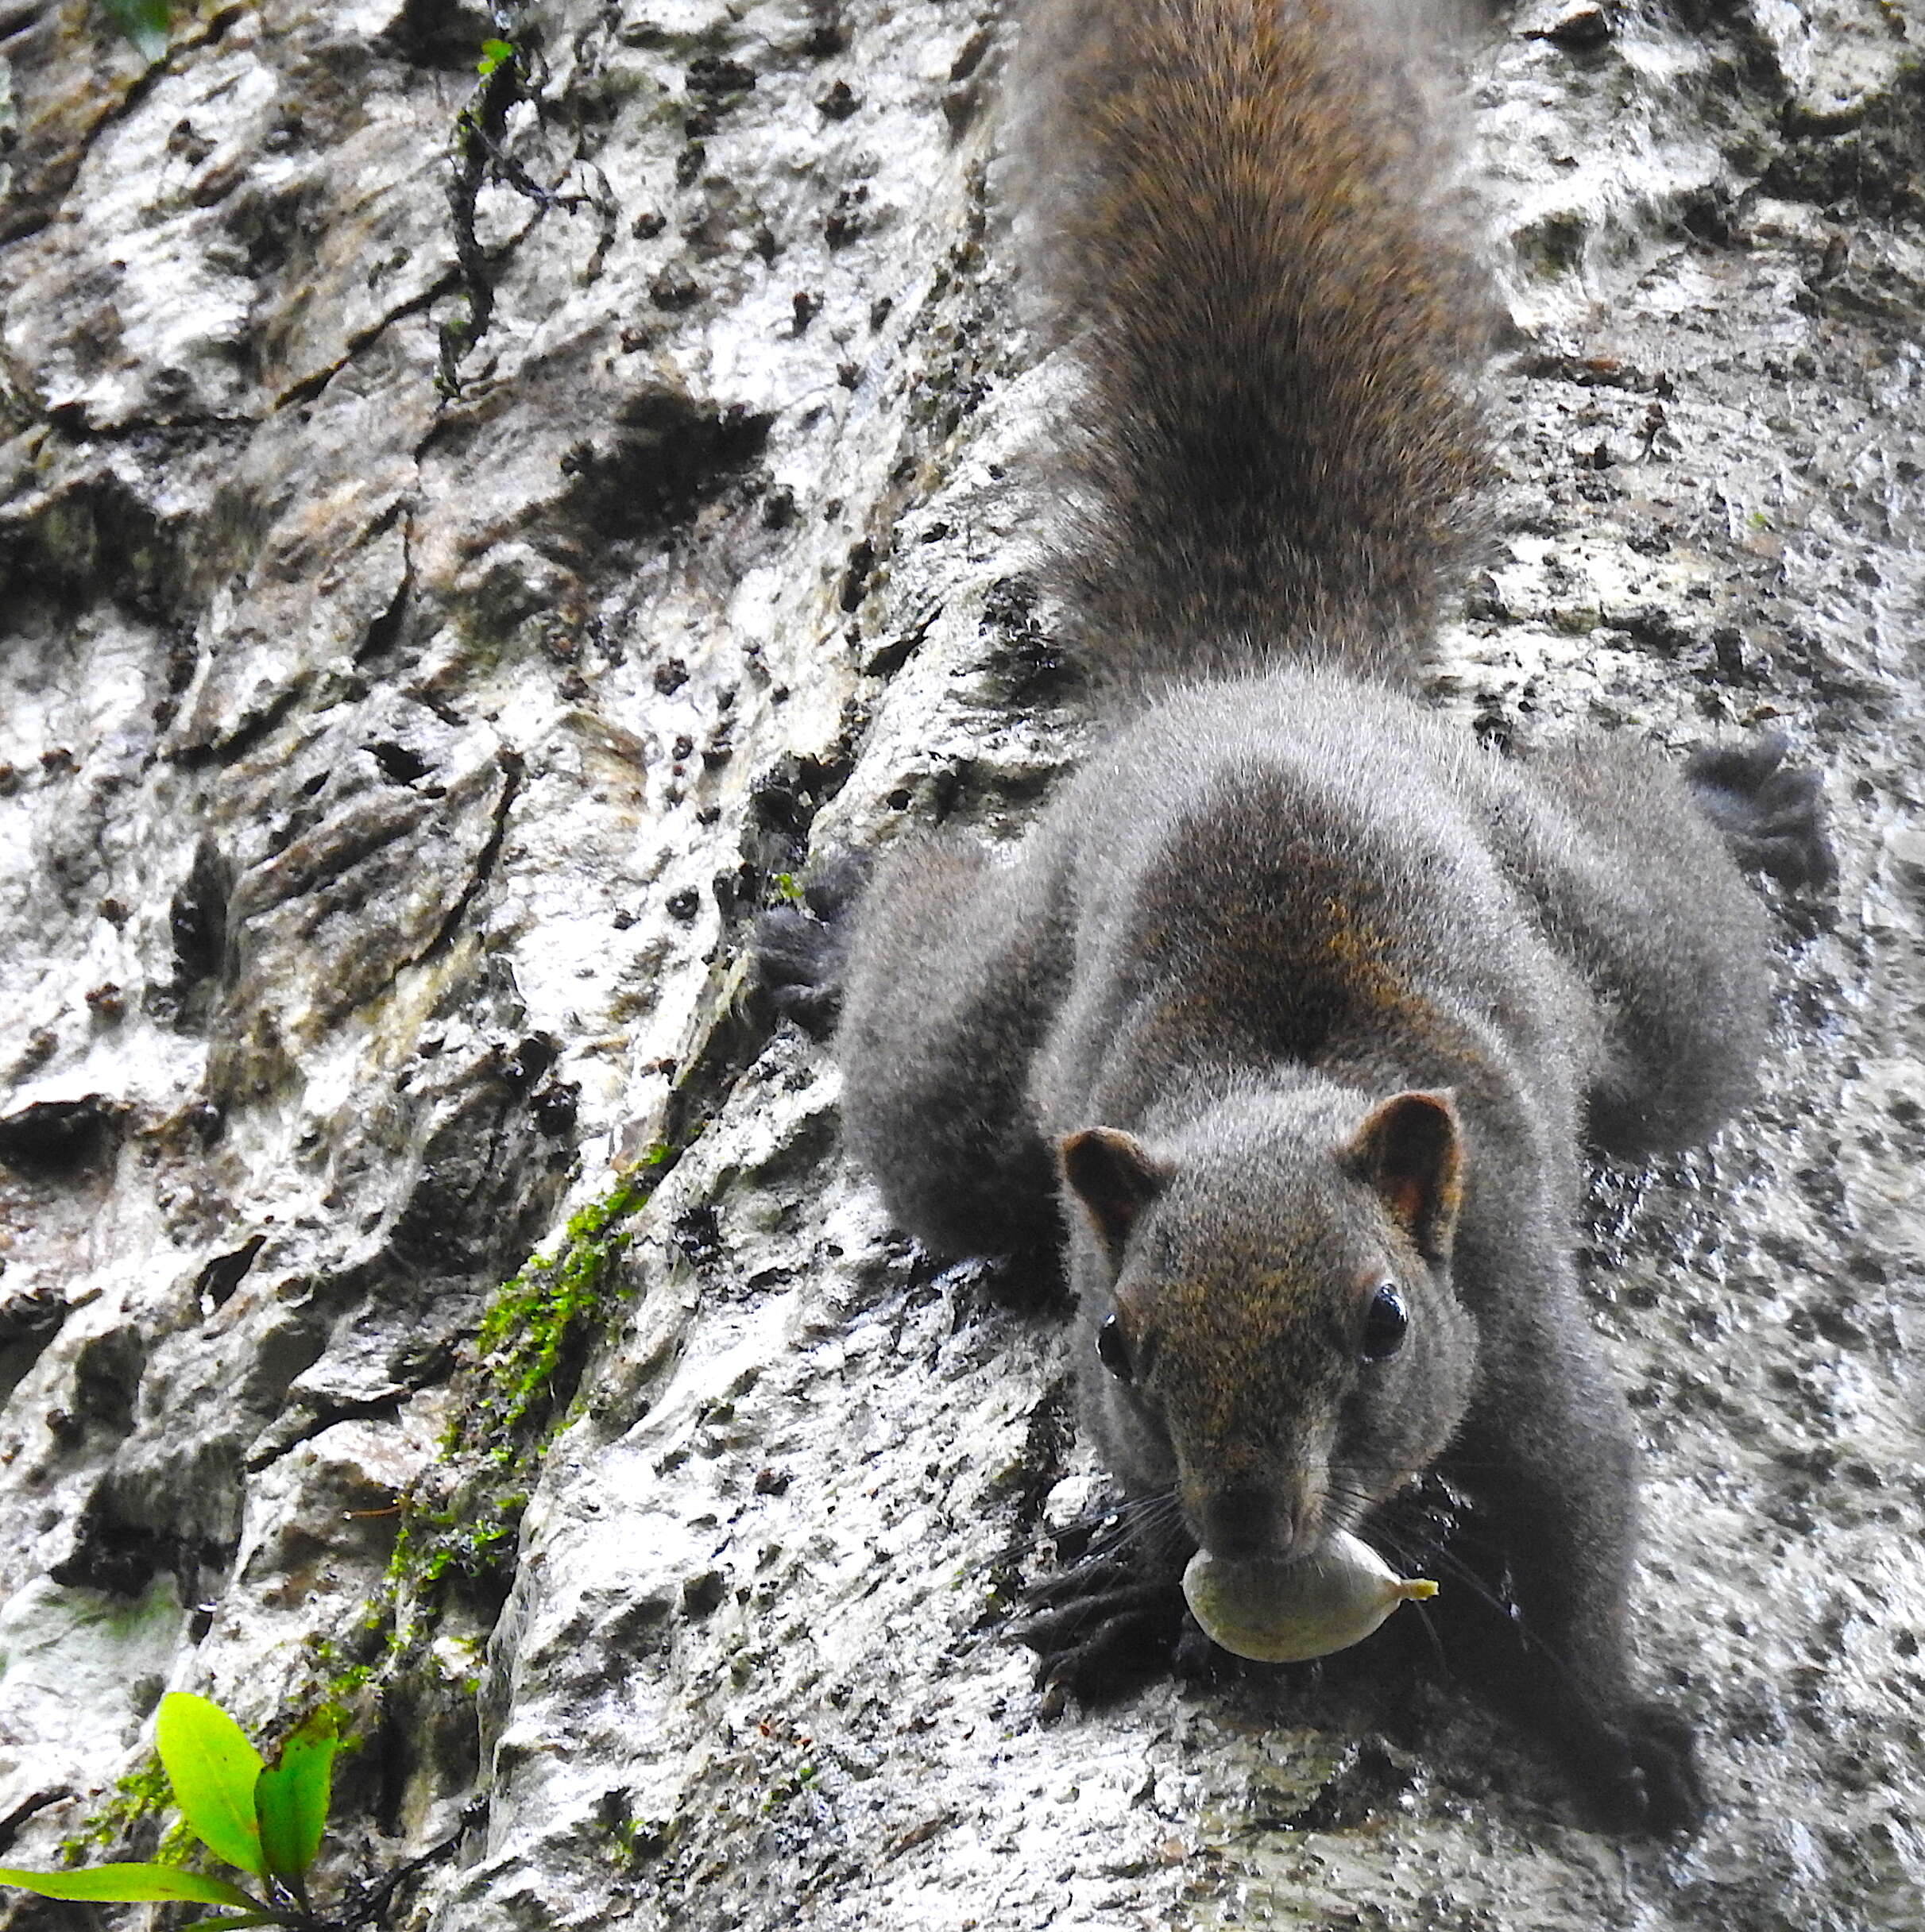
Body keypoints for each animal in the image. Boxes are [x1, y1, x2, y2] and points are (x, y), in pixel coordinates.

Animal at [753, 0, 1832, 1831]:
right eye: (1115, 1341)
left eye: (1384, 1319)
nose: (1246, 1517)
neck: (1270, 1091)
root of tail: (1263, 670)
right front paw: (1132, 1580)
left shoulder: (1515, 1328)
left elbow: (1584, 1527)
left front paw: (1607, 1722)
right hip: (992, 1036)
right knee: (927, 1048)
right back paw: (832, 932)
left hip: (1614, 957)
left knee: (1665, 938)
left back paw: (1728, 809)